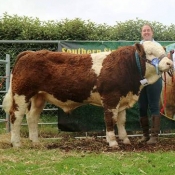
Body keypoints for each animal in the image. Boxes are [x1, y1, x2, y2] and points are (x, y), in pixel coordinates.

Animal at [2, 40, 174, 148]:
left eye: (163, 51)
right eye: (150, 53)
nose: (169, 63)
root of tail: (29, 53)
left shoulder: (123, 98)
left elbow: (121, 121)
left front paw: (125, 140)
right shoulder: (110, 98)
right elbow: (110, 120)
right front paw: (113, 142)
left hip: (39, 96)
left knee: (32, 117)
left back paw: (35, 142)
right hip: (21, 94)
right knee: (16, 116)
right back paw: (16, 143)